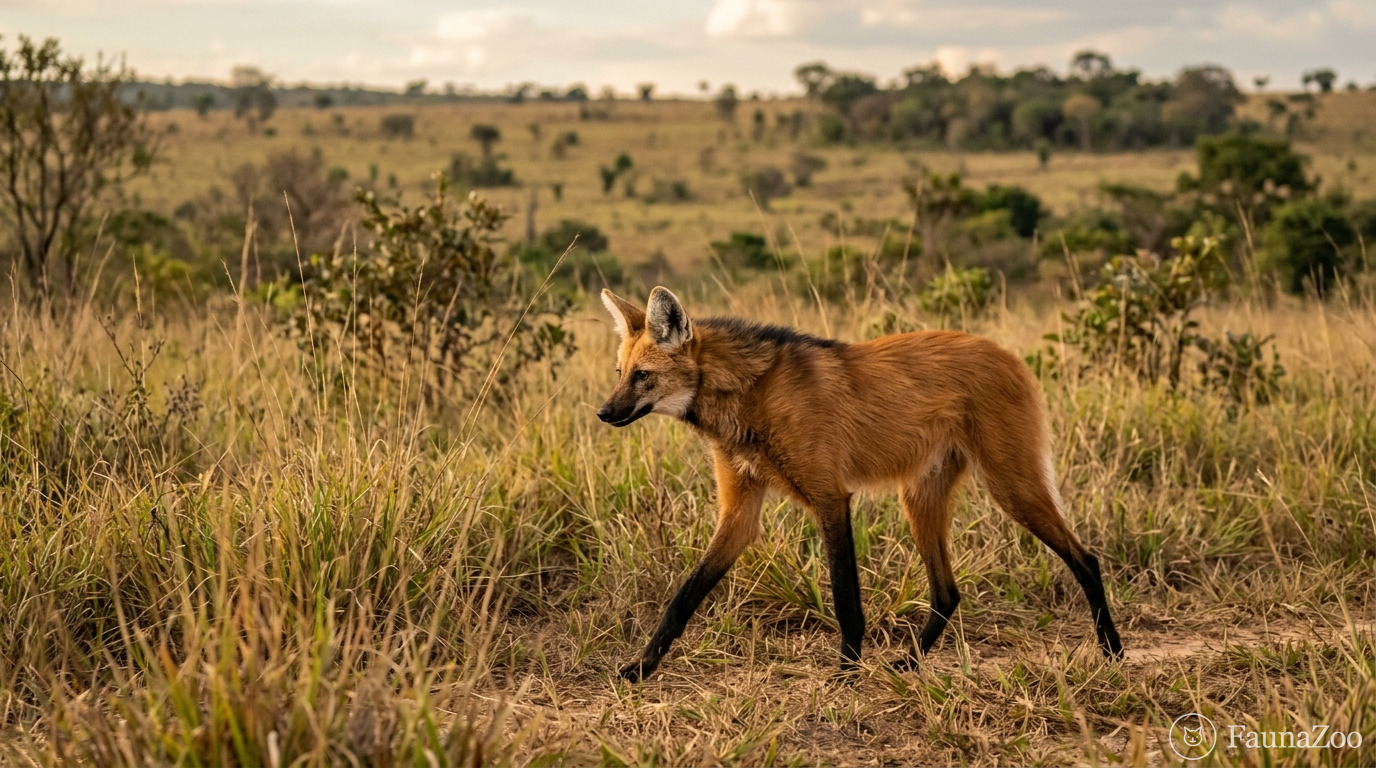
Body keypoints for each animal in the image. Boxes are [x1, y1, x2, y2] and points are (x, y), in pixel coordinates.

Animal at [598, 286, 1123, 682]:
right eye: (620, 373)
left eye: (644, 376)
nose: (604, 412)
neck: (747, 395)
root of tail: (1011, 356)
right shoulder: (740, 513)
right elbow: (684, 597)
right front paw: (640, 667)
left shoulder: (830, 497)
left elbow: (845, 595)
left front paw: (847, 671)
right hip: (919, 497)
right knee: (947, 592)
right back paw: (906, 664)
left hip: (1011, 486)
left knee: (1086, 559)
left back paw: (1113, 651)